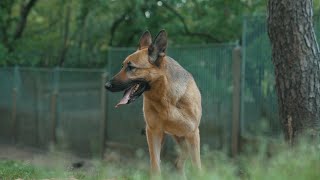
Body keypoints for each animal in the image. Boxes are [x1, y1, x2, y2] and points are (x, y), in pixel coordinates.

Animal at [105, 29, 202, 176]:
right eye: (122, 66)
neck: (166, 99)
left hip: (185, 141)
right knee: (178, 163)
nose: (107, 85)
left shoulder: (193, 134)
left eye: (131, 67)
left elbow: (197, 168)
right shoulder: (153, 132)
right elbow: (155, 166)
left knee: (180, 163)